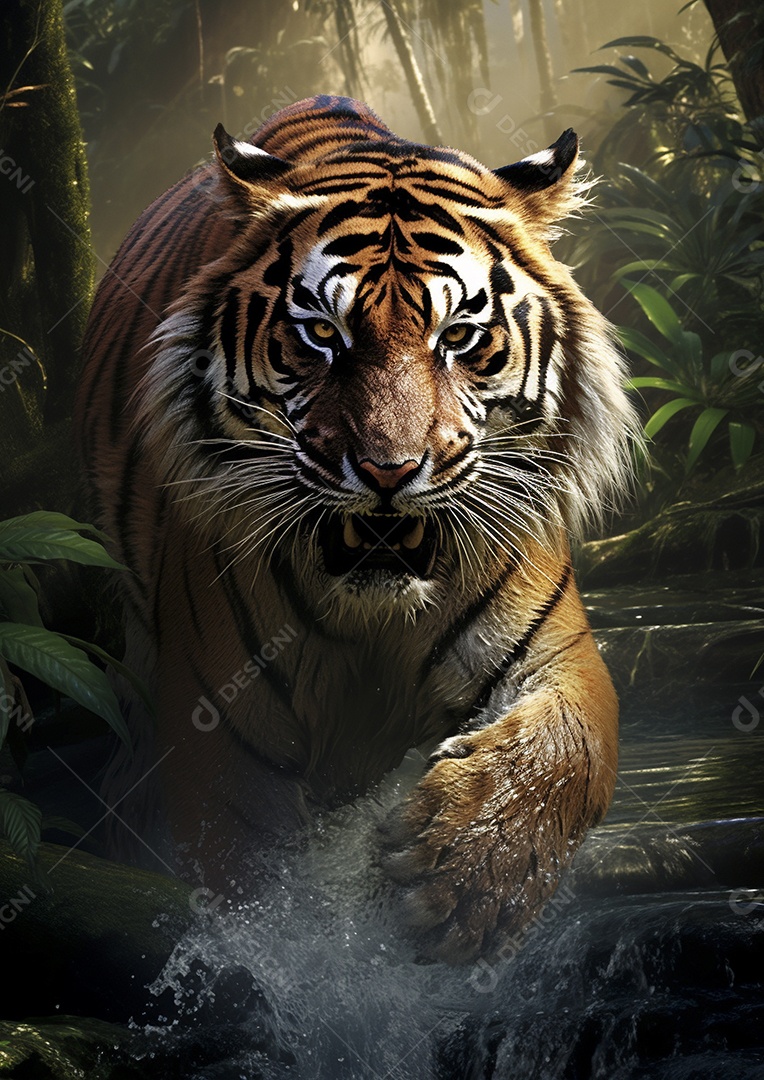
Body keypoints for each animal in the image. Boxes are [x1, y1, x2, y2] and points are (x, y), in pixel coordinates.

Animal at [75, 94, 637, 963]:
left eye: (458, 337)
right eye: (320, 334)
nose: (387, 469)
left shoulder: (557, 651)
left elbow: (570, 749)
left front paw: (462, 878)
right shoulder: (221, 730)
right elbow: (251, 891)